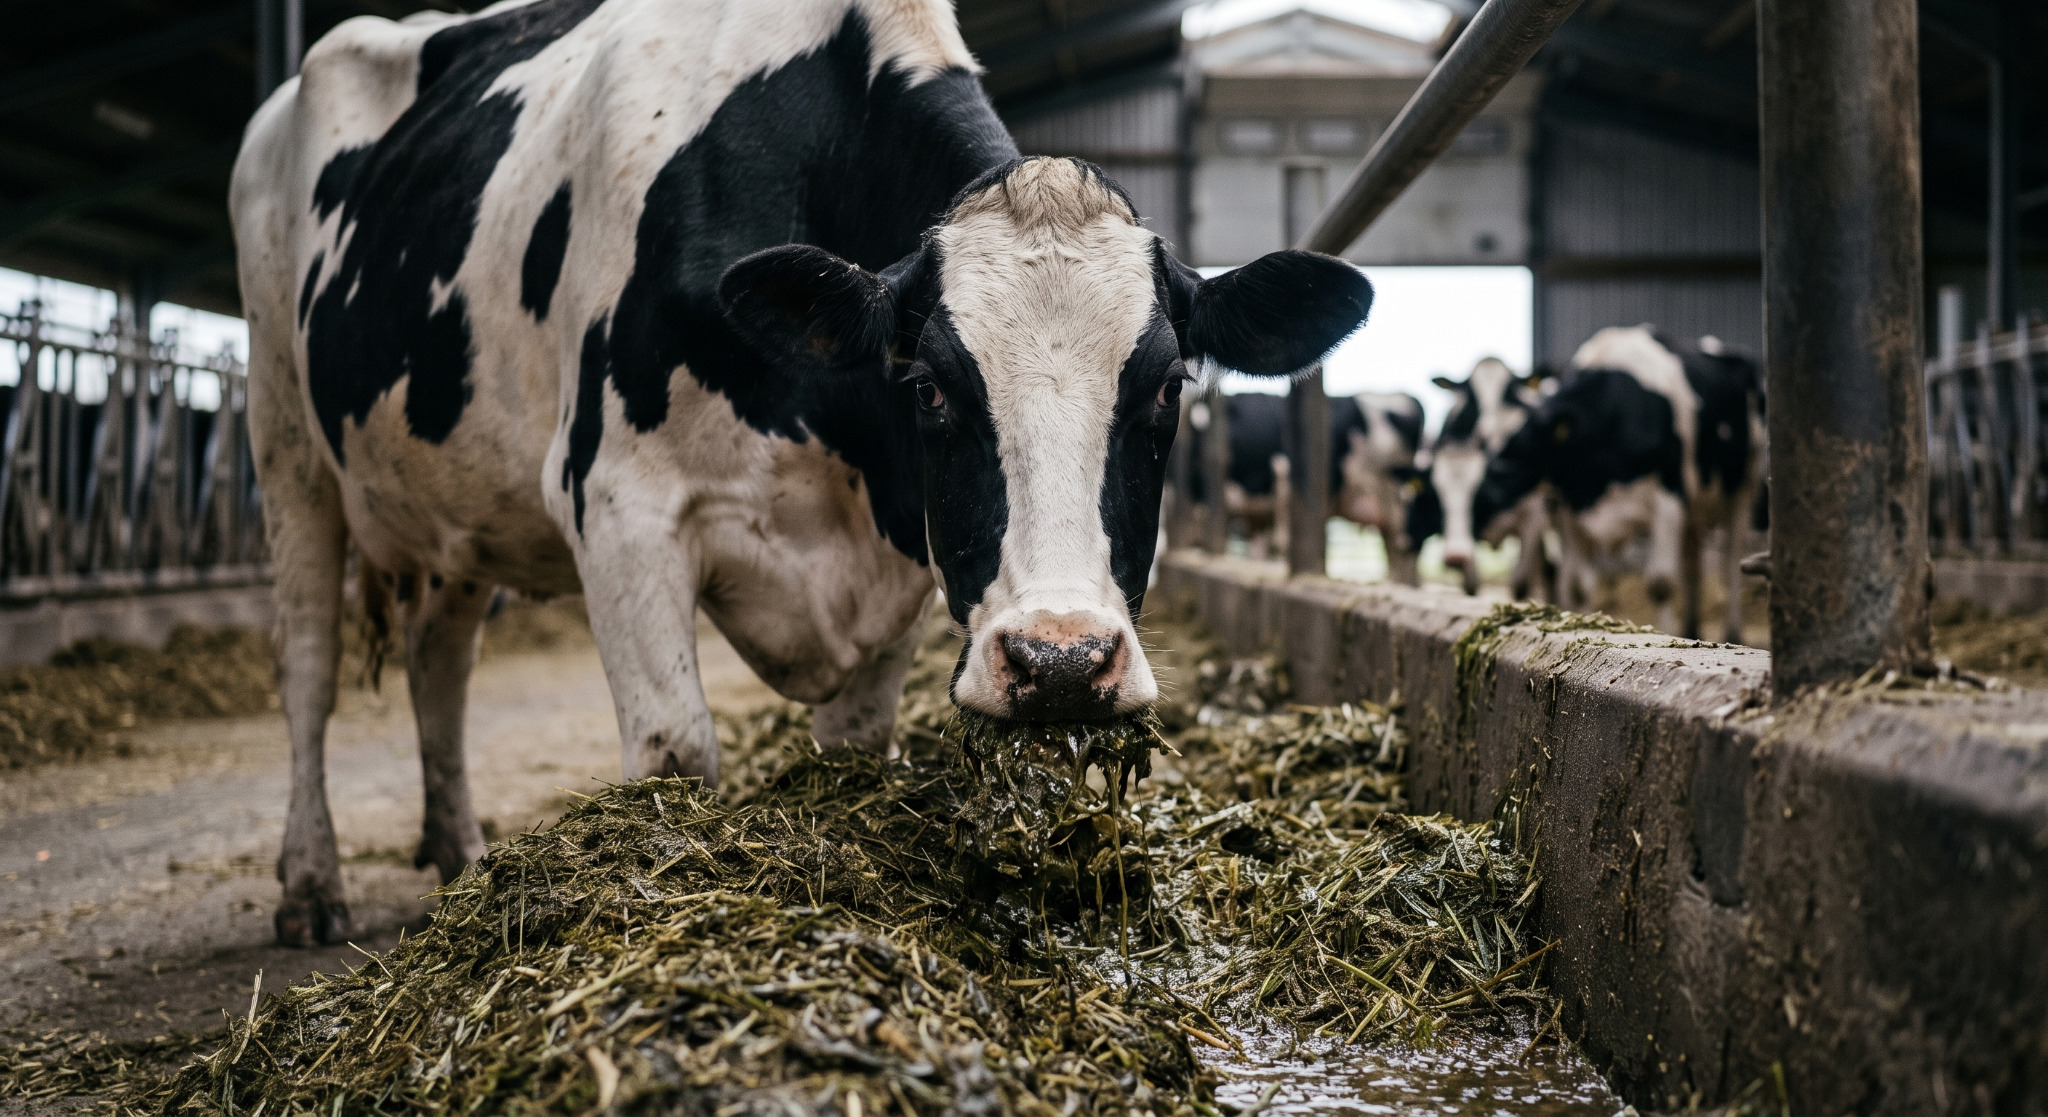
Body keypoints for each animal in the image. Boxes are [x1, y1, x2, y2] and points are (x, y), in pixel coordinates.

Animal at [232, 0, 1373, 945]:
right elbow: (673, 748)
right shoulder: (620, 507)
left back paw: (459, 851)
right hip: (286, 443)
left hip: (459, 504)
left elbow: (856, 747)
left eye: (1168, 387)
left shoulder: (901, 559)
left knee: (441, 655)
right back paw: (310, 887)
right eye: (928, 387)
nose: (1059, 664)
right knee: (305, 662)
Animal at [1404, 357, 1551, 598]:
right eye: (1471, 397)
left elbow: (1519, 581)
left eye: (1509, 392)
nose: (1486, 432)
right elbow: (1471, 584)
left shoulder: (1534, 513)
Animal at [1467, 326, 1764, 641]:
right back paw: (1691, 629)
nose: (1479, 515)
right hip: (1693, 508)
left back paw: (1731, 633)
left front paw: (1666, 632)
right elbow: (1580, 587)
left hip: (1743, 487)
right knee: (1693, 565)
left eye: (1518, 441)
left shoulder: (1669, 499)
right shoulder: (1574, 510)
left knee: (1730, 564)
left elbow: (1661, 584)